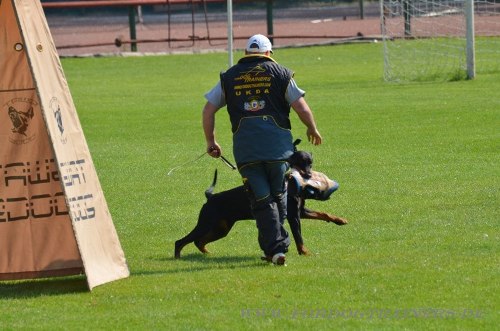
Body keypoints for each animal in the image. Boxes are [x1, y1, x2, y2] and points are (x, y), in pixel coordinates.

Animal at [173, 150, 348, 260]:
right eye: (299, 162)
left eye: (310, 163)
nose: (308, 174)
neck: (291, 183)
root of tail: (210, 197)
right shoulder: (293, 216)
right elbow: (299, 237)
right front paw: (305, 253)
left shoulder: (302, 211)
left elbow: (323, 213)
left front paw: (340, 220)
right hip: (206, 223)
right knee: (181, 241)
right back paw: (177, 257)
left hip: (221, 228)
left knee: (199, 241)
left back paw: (207, 253)